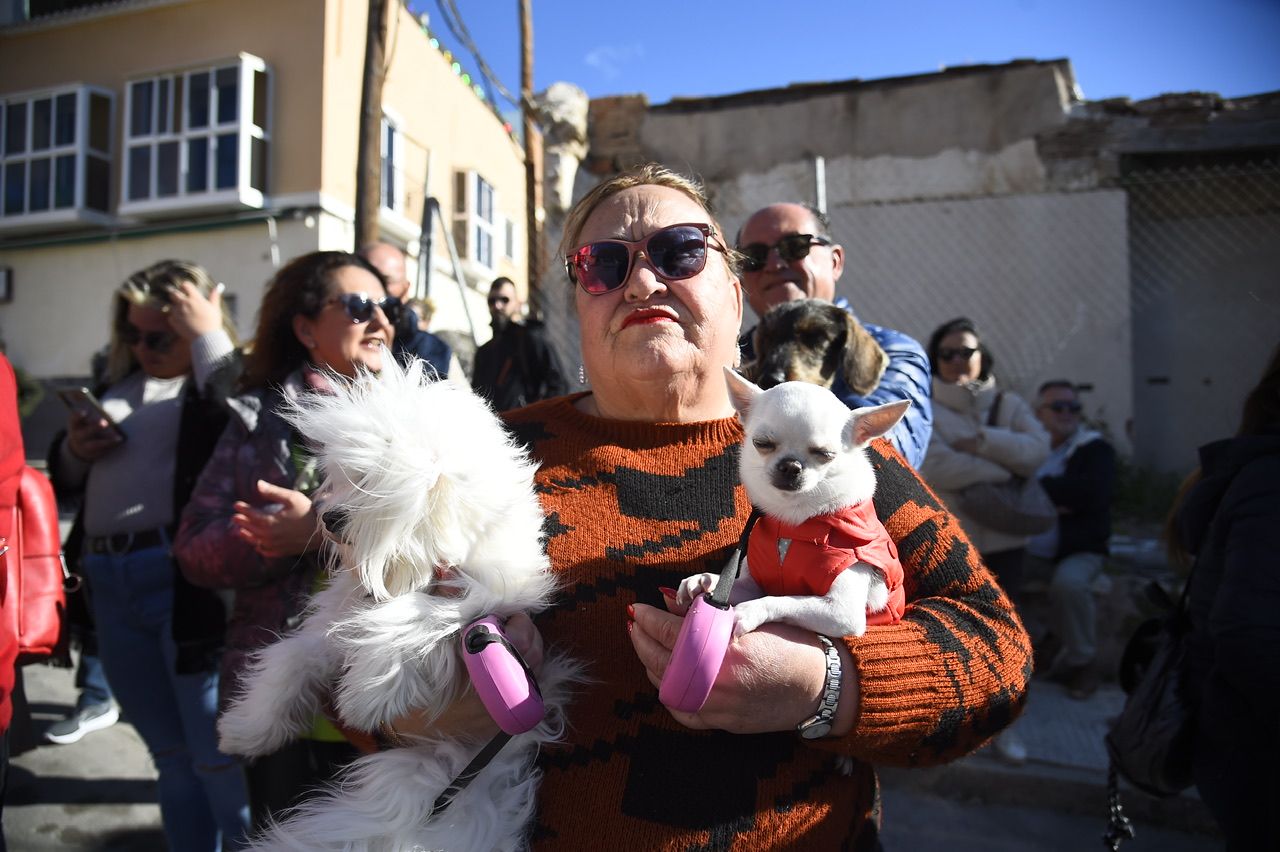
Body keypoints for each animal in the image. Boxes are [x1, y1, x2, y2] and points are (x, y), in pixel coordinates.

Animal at [218, 355, 581, 844]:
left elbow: (418, 616)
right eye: (350, 478)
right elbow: (293, 659)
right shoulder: (334, 625)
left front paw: (369, 693)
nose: (329, 518)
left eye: (375, 487)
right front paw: (247, 728)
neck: (416, 567)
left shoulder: (490, 594)